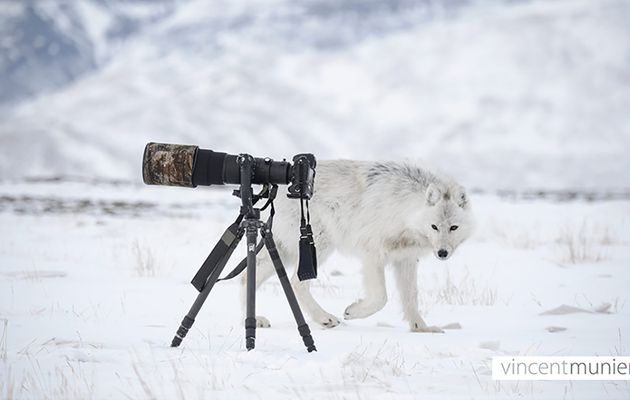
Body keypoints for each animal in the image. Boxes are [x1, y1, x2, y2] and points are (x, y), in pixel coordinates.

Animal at [242, 159, 474, 332]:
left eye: (453, 227)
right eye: (434, 226)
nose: (442, 253)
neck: (404, 209)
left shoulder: (406, 259)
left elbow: (411, 297)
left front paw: (421, 328)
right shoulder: (373, 254)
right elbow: (381, 298)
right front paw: (353, 311)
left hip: (284, 251)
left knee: (247, 277)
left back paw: (255, 320)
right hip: (317, 246)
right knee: (296, 283)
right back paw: (325, 318)